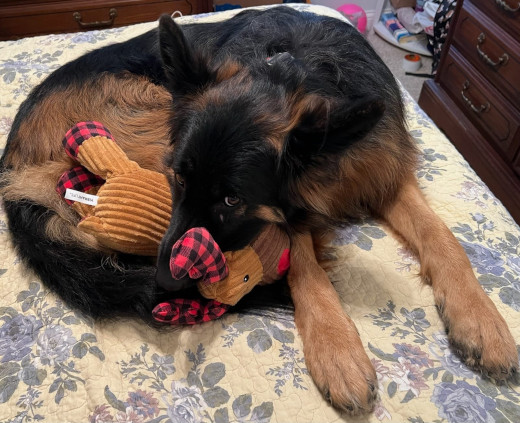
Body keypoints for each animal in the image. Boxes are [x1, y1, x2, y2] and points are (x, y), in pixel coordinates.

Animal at [0, 7, 516, 418]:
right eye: (178, 178)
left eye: (231, 201)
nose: (167, 282)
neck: (299, 70)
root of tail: (13, 162)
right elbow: (302, 259)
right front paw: (337, 345)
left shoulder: (382, 169)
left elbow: (442, 237)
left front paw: (480, 318)